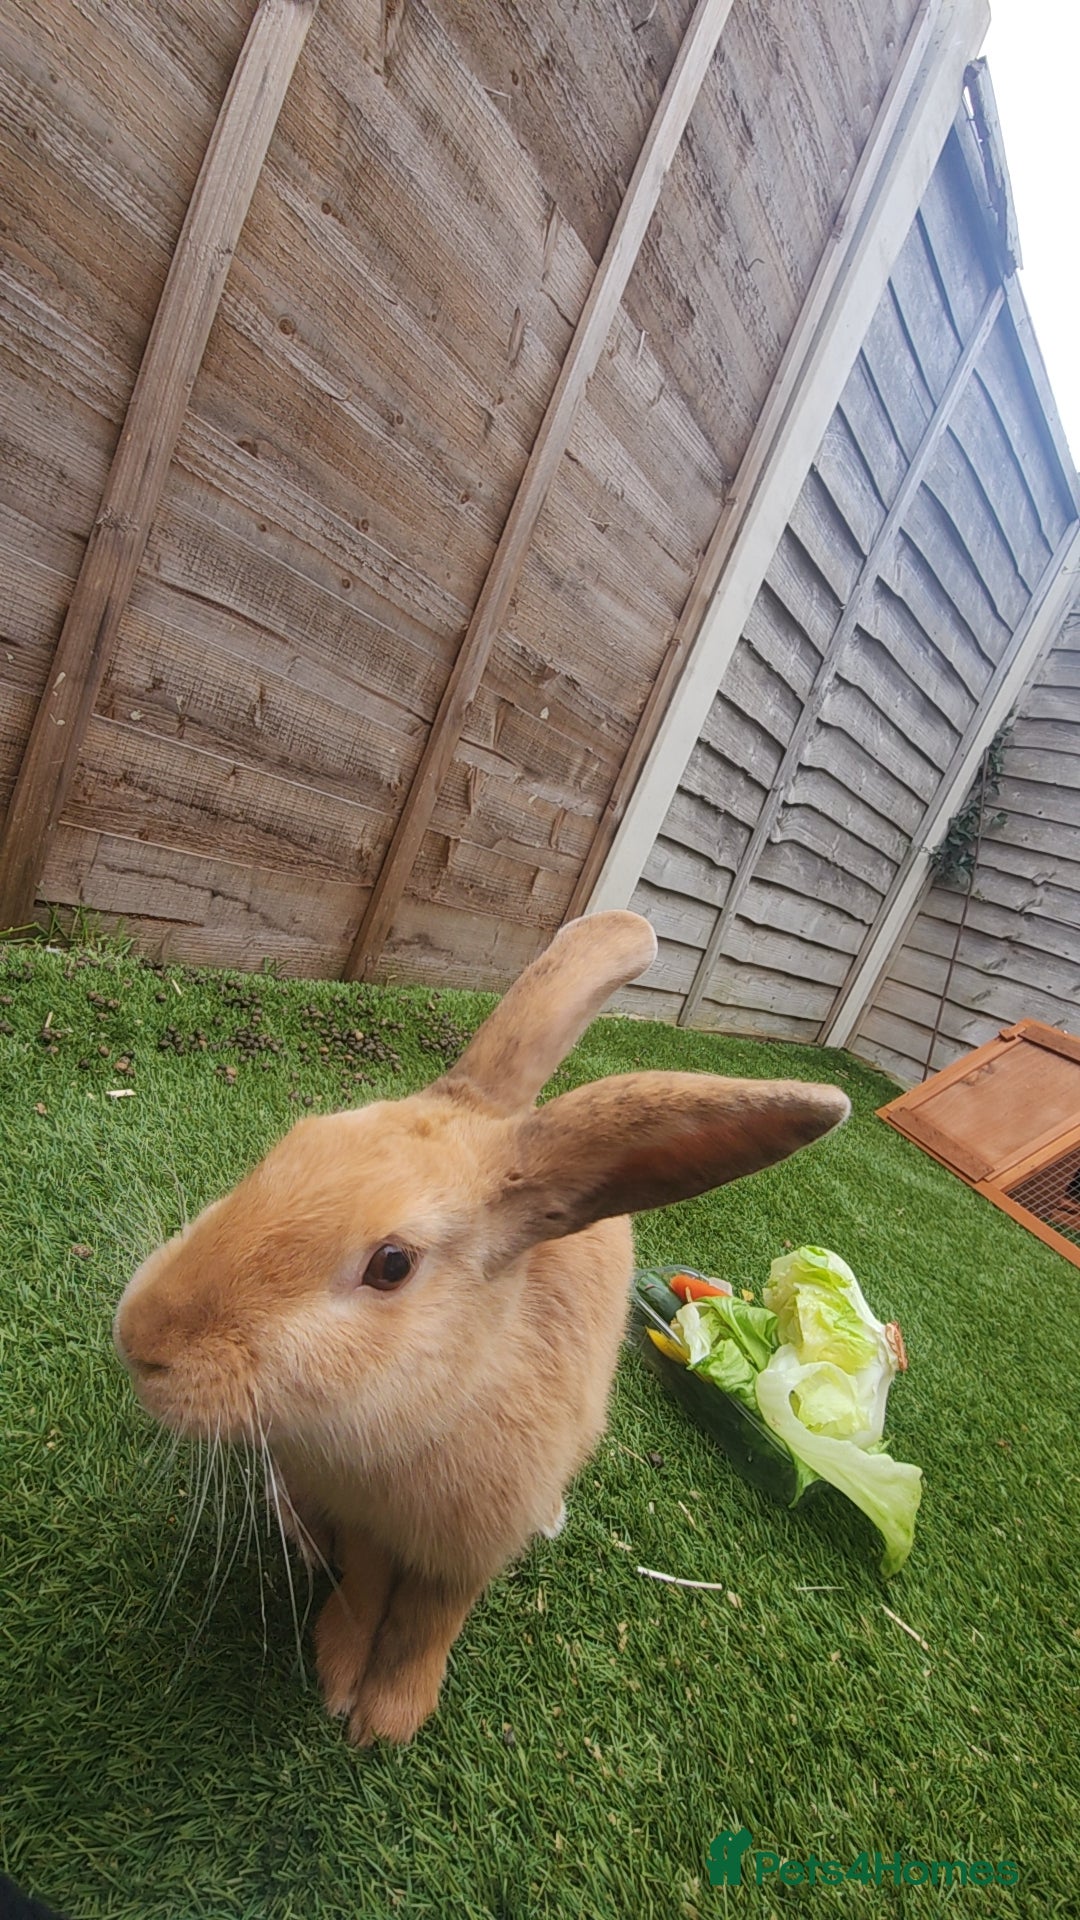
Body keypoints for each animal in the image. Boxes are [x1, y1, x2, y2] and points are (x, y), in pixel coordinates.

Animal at [113, 910, 849, 1746]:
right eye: (298, 1140)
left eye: (392, 1264)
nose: (139, 1341)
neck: (430, 1408)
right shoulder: (368, 1528)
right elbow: (368, 1588)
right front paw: (341, 1676)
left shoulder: (468, 1552)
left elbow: (428, 1620)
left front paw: (388, 1719)